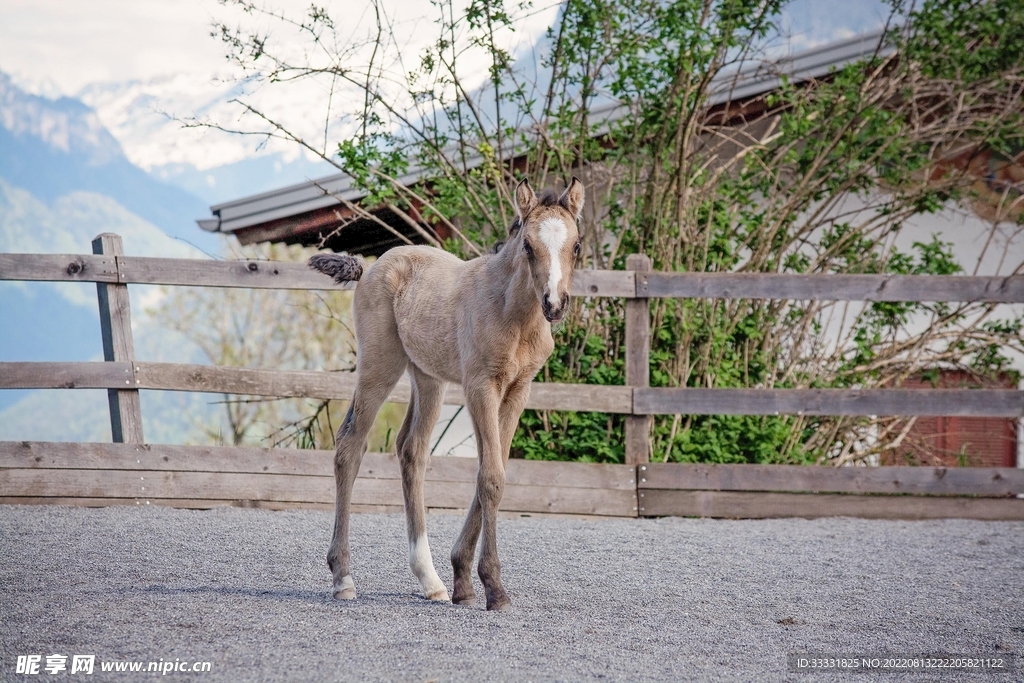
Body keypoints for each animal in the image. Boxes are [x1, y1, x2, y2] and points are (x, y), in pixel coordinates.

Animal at [308, 177, 584, 610]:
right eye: (527, 246)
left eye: (576, 246)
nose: (554, 304)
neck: (513, 315)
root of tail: (372, 266)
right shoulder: (480, 386)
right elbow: (491, 478)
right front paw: (493, 588)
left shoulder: (518, 390)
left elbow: (494, 471)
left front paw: (463, 582)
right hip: (379, 366)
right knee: (350, 445)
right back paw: (343, 577)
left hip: (428, 378)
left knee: (412, 451)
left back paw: (431, 580)